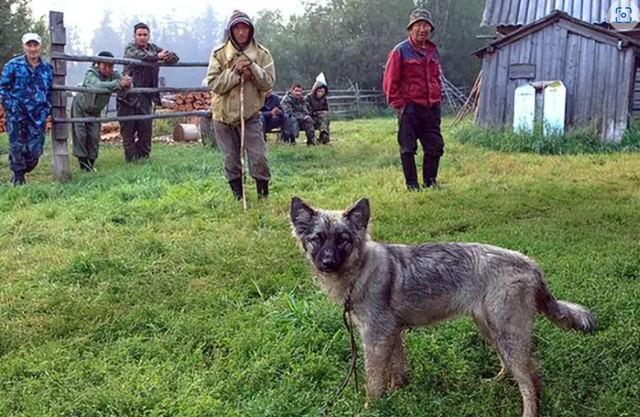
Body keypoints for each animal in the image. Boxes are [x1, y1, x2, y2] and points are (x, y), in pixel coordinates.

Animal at [290, 196, 596, 416]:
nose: (327, 262)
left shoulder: (375, 336)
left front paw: (371, 409)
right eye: (317, 239)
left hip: (508, 332)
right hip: (489, 328)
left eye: (342, 239)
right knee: (511, 366)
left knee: (530, 379)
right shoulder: (392, 333)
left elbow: (373, 382)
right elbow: (396, 371)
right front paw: (397, 393)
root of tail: (530, 263)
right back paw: (495, 381)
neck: (361, 269)